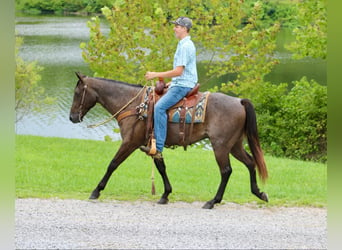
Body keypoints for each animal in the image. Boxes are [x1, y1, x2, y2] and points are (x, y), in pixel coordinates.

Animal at [69, 72, 268, 209]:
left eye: (77, 92)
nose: (72, 117)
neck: (135, 105)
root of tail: (239, 101)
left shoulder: (130, 142)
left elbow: (113, 164)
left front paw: (96, 191)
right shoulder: (154, 145)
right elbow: (161, 167)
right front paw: (165, 195)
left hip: (221, 145)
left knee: (226, 171)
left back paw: (212, 201)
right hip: (235, 145)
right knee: (250, 163)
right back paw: (259, 193)